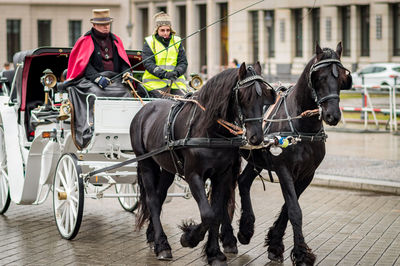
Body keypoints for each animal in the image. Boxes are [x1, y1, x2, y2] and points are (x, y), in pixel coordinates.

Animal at [130, 62, 276, 264]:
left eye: (264, 98)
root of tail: (146, 109)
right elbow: (208, 214)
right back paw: (162, 245)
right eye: (244, 96)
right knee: (152, 199)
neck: (210, 131)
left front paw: (214, 252)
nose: (256, 137)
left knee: (159, 198)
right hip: (146, 163)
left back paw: (154, 237)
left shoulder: (222, 176)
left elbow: (216, 212)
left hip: (168, 168)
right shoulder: (194, 176)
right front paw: (189, 237)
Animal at [236, 43, 352, 264]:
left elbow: (288, 208)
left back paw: (245, 230)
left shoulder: (307, 174)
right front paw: (301, 254)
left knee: (243, 182)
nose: (332, 115)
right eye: (319, 77)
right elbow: (294, 210)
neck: (302, 126)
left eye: (343, 77)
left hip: (256, 160)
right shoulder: (284, 170)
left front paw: (275, 245)